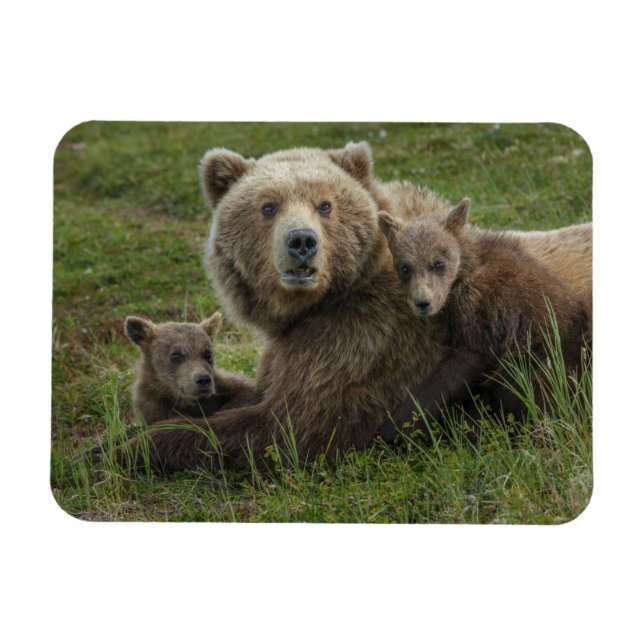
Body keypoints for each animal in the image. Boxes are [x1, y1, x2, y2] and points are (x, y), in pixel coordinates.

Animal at [376, 197, 589, 436]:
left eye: (438, 263)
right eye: (405, 267)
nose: (423, 302)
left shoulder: (487, 317)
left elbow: (460, 368)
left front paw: (391, 428)